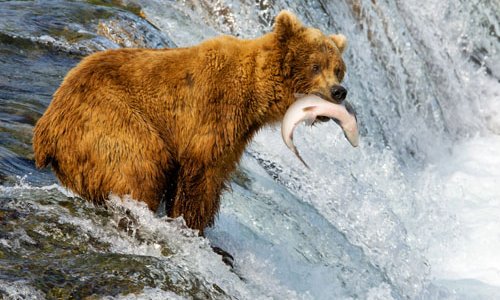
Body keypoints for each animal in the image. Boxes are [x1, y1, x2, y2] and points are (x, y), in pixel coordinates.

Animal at [33, 9, 348, 234]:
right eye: (315, 66)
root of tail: (45, 130)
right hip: (109, 119)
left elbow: (216, 175)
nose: (339, 91)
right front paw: (190, 224)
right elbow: (200, 174)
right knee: (142, 164)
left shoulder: (237, 133)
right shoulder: (213, 112)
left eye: (338, 69)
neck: (256, 93)